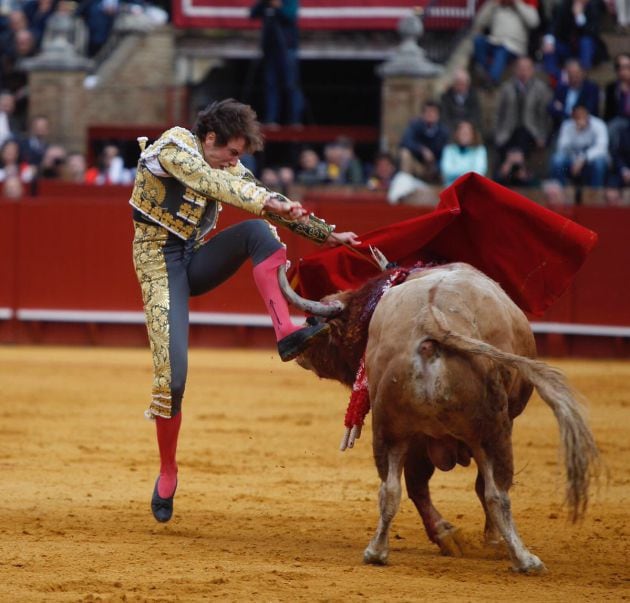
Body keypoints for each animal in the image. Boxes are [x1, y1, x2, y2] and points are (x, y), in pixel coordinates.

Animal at [282, 262, 604, 572]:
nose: (300, 353)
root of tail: (431, 322)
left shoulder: (416, 437)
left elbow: (413, 485)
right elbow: (481, 487)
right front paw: (493, 542)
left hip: (391, 430)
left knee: (392, 488)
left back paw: (380, 551)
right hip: (492, 431)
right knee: (495, 493)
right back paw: (523, 559)